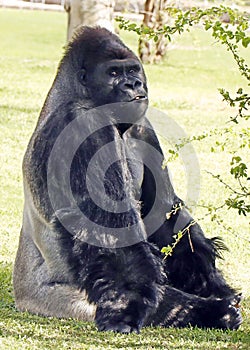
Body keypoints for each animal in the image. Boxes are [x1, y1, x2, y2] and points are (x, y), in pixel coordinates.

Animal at [12, 26, 241, 332]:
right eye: (113, 73)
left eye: (133, 70)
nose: (133, 84)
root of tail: (21, 297)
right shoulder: (82, 123)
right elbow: (113, 238)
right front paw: (125, 309)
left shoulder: (143, 125)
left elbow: (166, 214)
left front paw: (210, 281)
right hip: (54, 300)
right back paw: (212, 312)